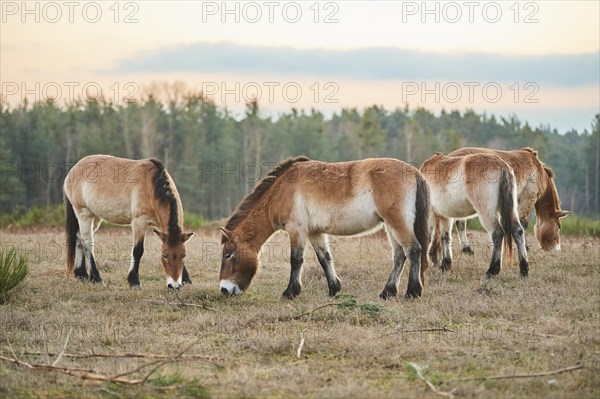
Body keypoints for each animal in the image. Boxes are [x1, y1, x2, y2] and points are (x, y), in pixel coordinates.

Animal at [63, 155, 195, 290]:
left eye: (183, 255)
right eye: (164, 255)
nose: (174, 285)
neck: (151, 185)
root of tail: (74, 169)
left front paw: (187, 281)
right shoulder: (139, 222)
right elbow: (137, 251)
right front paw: (134, 282)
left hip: (95, 217)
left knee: (79, 238)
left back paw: (81, 274)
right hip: (84, 214)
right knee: (87, 242)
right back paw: (96, 278)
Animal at [218, 156, 428, 300]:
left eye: (228, 254)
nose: (224, 289)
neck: (283, 190)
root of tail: (415, 172)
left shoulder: (297, 229)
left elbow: (296, 260)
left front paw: (290, 292)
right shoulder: (314, 232)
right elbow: (324, 258)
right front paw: (334, 289)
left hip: (397, 222)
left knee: (413, 250)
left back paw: (412, 292)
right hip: (390, 225)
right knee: (399, 255)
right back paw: (387, 292)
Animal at [434, 148, 568, 260]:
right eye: (559, 226)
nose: (557, 249)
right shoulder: (527, 199)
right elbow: (523, 223)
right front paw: (525, 248)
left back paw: (466, 250)